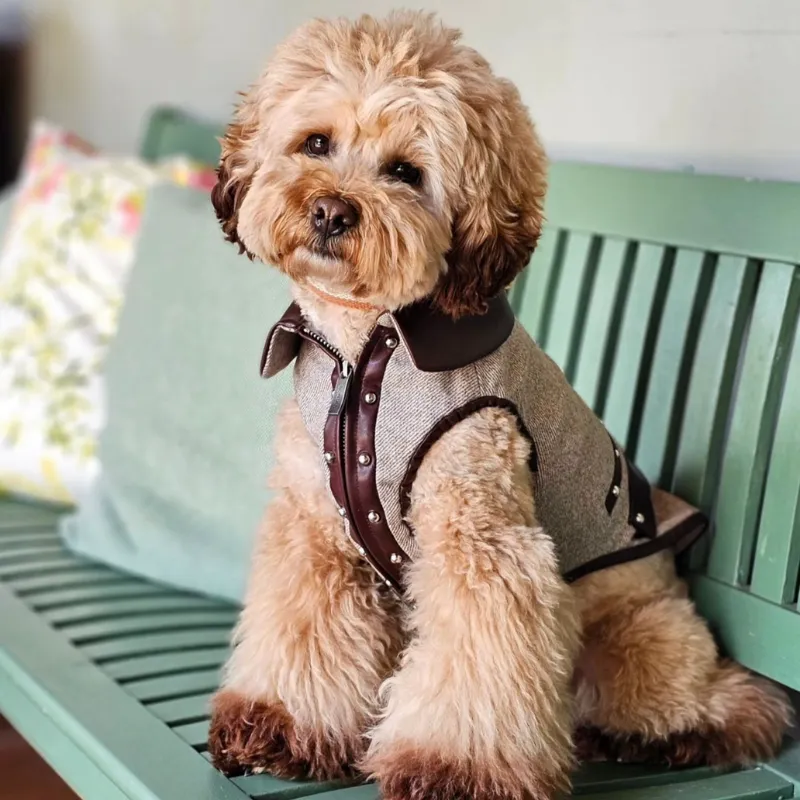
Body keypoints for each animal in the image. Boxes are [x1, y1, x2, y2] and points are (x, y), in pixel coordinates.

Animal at [206, 12, 792, 800]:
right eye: (316, 143)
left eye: (405, 172)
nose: (330, 211)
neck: (366, 351)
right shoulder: (317, 536)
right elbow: (304, 630)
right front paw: (282, 722)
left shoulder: (480, 539)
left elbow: (477, 659)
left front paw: (453, 767)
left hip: (639, 636)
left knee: (711, 699)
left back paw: (682, 730)